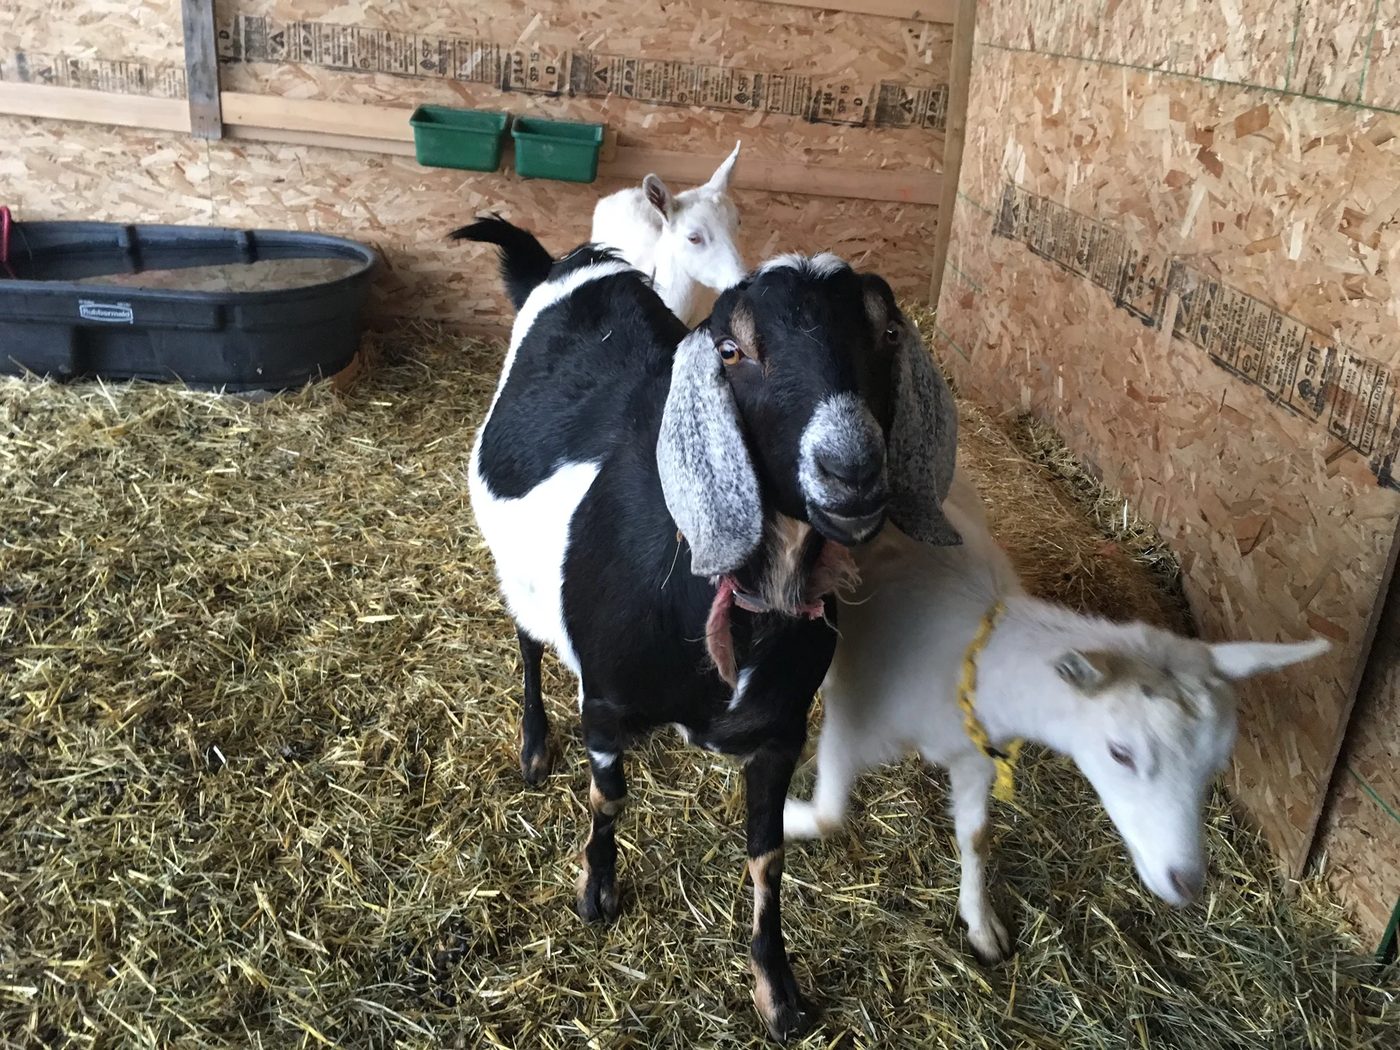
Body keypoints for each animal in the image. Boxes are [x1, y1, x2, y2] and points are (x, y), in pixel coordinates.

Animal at [452, 215, 962, 1041]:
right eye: (732, 350)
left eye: (888, 332)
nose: (850, 470)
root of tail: (570, 263)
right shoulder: (606, 703)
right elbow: (608, 800)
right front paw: (596, 892)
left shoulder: (781, 732)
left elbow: (767, 856)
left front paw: (777, 990)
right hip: (517, 568)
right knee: (528, 639)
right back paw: (532, 745)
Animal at [785, 467, 1329, 964]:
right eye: (1120, 752)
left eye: (1216, 763)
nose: (1187, 881)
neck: (967, 651)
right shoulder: (853, 725)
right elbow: (830, 817)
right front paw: (789, 817)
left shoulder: (974, 754)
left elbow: (976, 837)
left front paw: (981, 924)